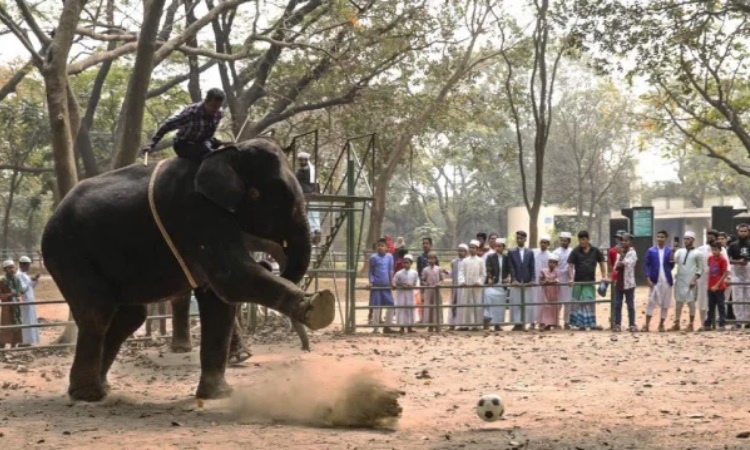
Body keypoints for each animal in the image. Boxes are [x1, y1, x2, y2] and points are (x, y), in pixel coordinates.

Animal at [41, 137, 334, 400]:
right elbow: (232, 278)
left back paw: (99, 386)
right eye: (262, 195)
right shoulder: (196, 211)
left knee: (130, 316)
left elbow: (218, 299)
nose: (271, 263)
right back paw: (90, 394)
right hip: (69, 253)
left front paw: (219, 395)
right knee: (98, 312)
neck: (227, 150)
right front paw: (320, 307)